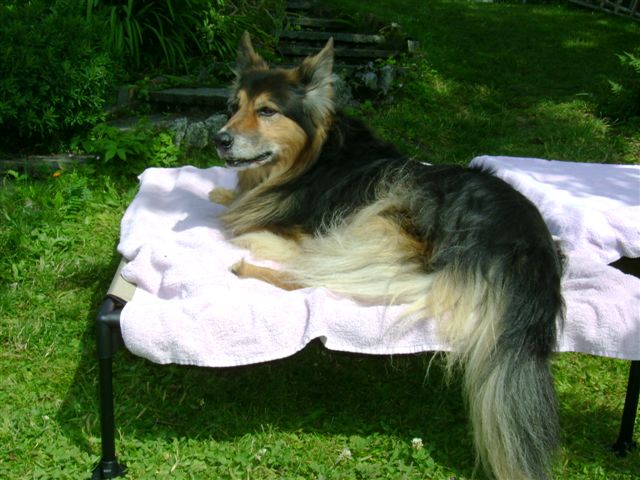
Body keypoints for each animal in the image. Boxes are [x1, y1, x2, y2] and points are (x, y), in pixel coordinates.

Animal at [211, 32, 564, 480]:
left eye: (267, 111)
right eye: (233, 107)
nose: (219, 138)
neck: (312, 157)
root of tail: (533, 252)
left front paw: (243, 220)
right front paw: (222, 192)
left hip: (386, 214)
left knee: (308, 274)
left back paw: (249, 261)